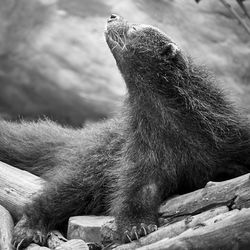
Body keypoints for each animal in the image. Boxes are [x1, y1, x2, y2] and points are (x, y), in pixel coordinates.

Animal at [0, 14, 249, 247]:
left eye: (135, 28)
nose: (113, 16)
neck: (177, 130)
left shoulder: (233, 135)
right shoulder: (140, 152)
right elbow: (135, 191)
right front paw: (135, 227)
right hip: (88, 171)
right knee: (52, 197)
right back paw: (29, 230)